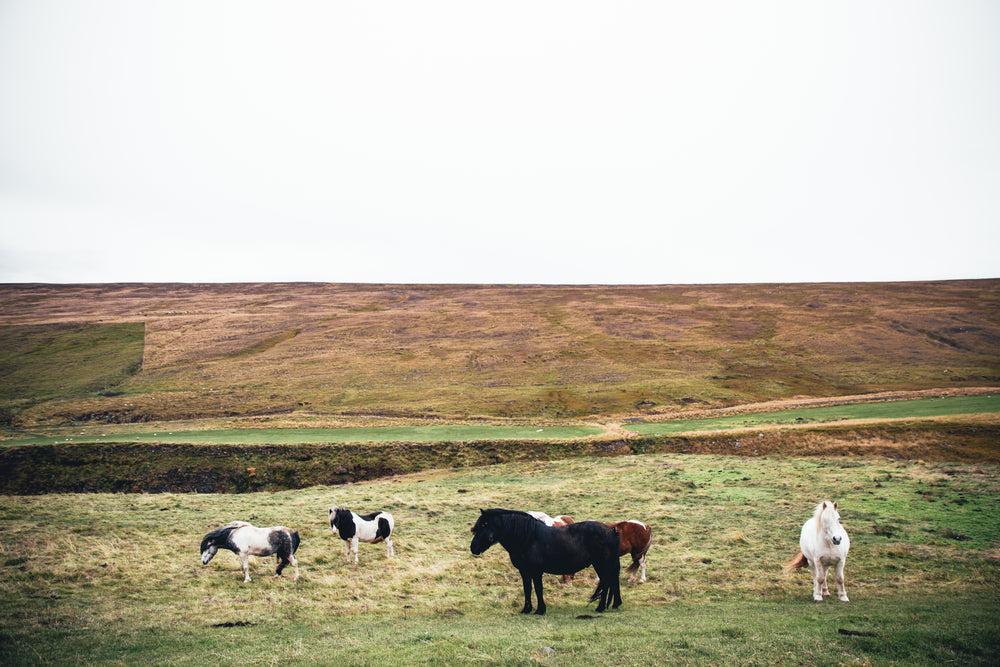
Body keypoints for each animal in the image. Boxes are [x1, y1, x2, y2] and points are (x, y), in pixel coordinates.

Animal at [470, 512, 624, 616]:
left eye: (484, 526)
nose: (473, 547)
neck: (528, 538)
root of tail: (612, 530)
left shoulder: (536, 571)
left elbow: (538, 589)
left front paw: (540, 610)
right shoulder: (524, 571)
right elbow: (527, 589)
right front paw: (526, 609)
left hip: (602, 564)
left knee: (606, 583)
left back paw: (600, 607)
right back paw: (612, 604)